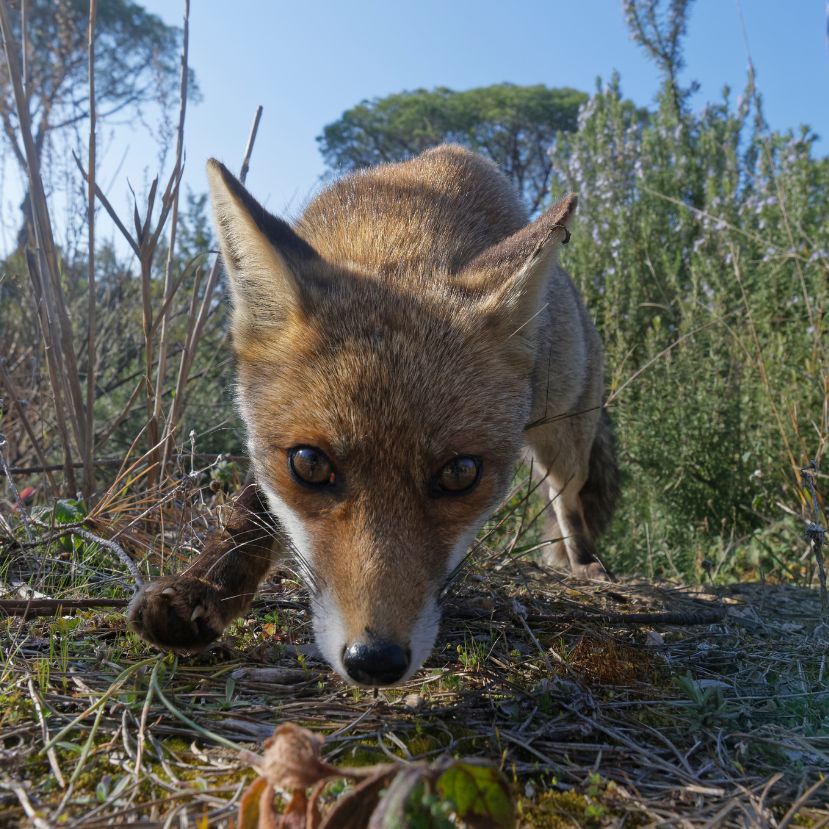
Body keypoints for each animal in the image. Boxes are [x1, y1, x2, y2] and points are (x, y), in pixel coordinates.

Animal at [126, 144, 616, 684]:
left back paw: (582, 563)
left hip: (565, 443)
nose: (375, 660)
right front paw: (205, 586)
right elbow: (251, 512)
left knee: (567, 502)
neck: (402, 230)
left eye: (460, 473)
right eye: (309, 464)